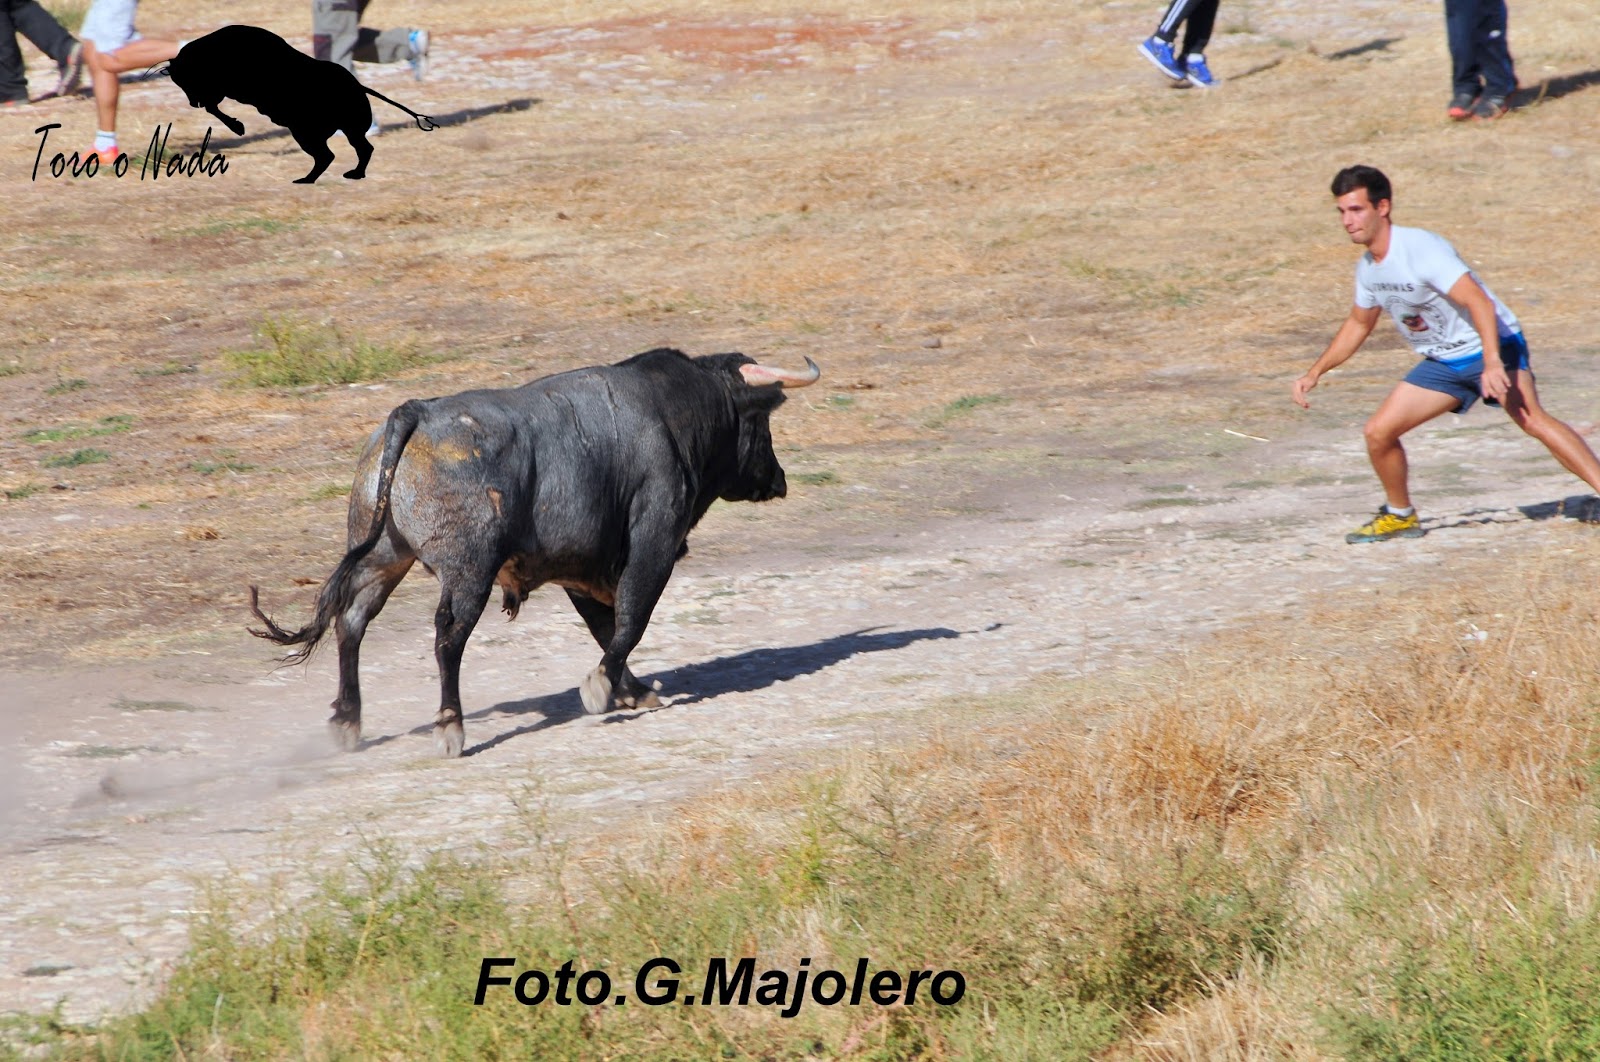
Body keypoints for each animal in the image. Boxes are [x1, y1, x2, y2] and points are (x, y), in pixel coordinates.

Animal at [249, 347, 820, 757]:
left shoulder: (579, 563)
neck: (676, 411)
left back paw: (347, 720)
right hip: (469, 572)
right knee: (447, 638)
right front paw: (601, 687)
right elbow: (631, 618)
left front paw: (631, 689)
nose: (779, 479)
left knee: (352, 622)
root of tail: (416, 412)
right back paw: (450, 727)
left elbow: (606, 625)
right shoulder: (654, 541)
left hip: (383, 556)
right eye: (760, 424)